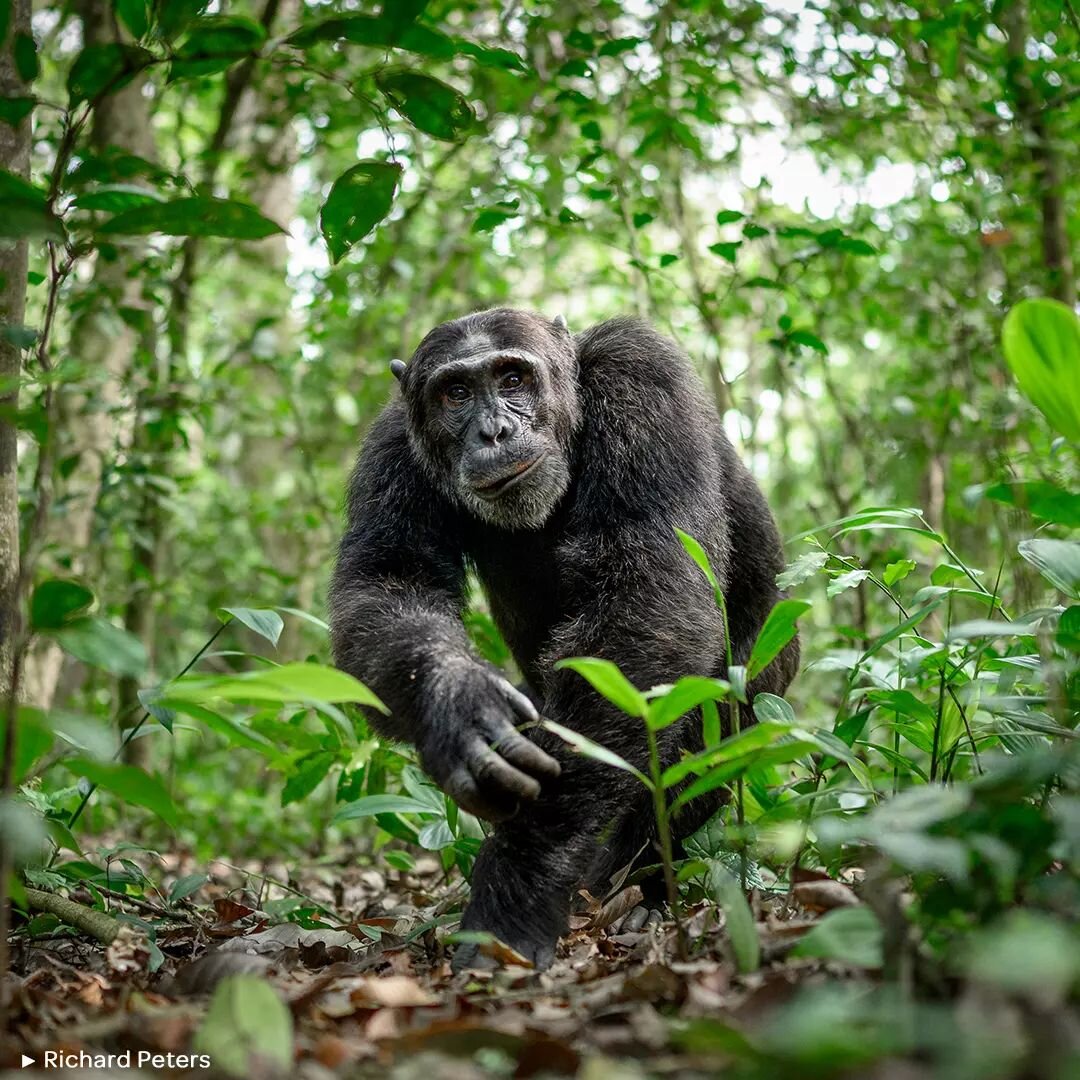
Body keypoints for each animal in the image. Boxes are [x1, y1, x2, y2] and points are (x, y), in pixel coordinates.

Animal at [330, 311, 803, 972]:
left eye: (512, 378)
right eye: (455, 393)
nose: (495, 430)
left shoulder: (642, 377)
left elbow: (650, 594)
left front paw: (520, 883)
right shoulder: (392, 449)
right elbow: (389, 582)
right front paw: (458, 706)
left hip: (771, 669)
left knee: (711, 725)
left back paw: (637, 889)